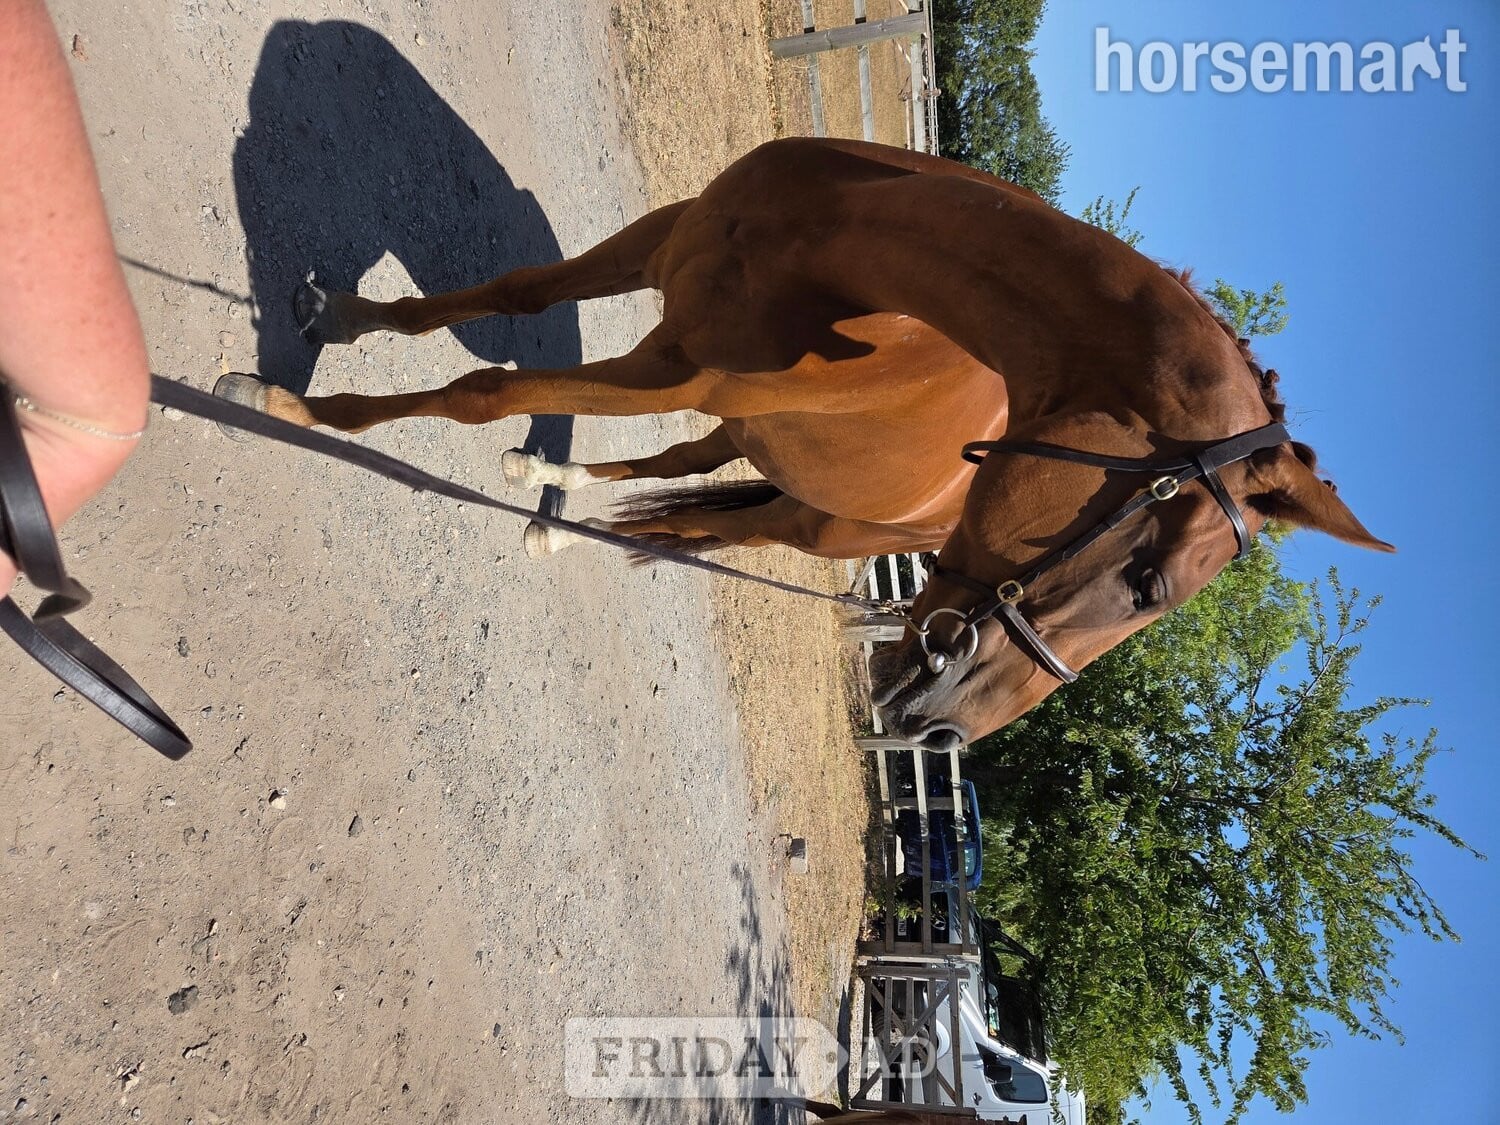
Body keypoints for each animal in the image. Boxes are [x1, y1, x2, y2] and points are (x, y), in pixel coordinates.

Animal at [217, 137, 1391, 749]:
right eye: (1147, 584)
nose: (940, 737)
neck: (853, 258)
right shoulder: (665, 254)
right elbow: (512, 299)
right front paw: (338, 316)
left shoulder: (682, 368)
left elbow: (484, 391)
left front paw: (291, 409)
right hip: (739, 421)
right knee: (679, 470)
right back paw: (550, 489)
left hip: (815, 523)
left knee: (702, 521)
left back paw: (560, 516)